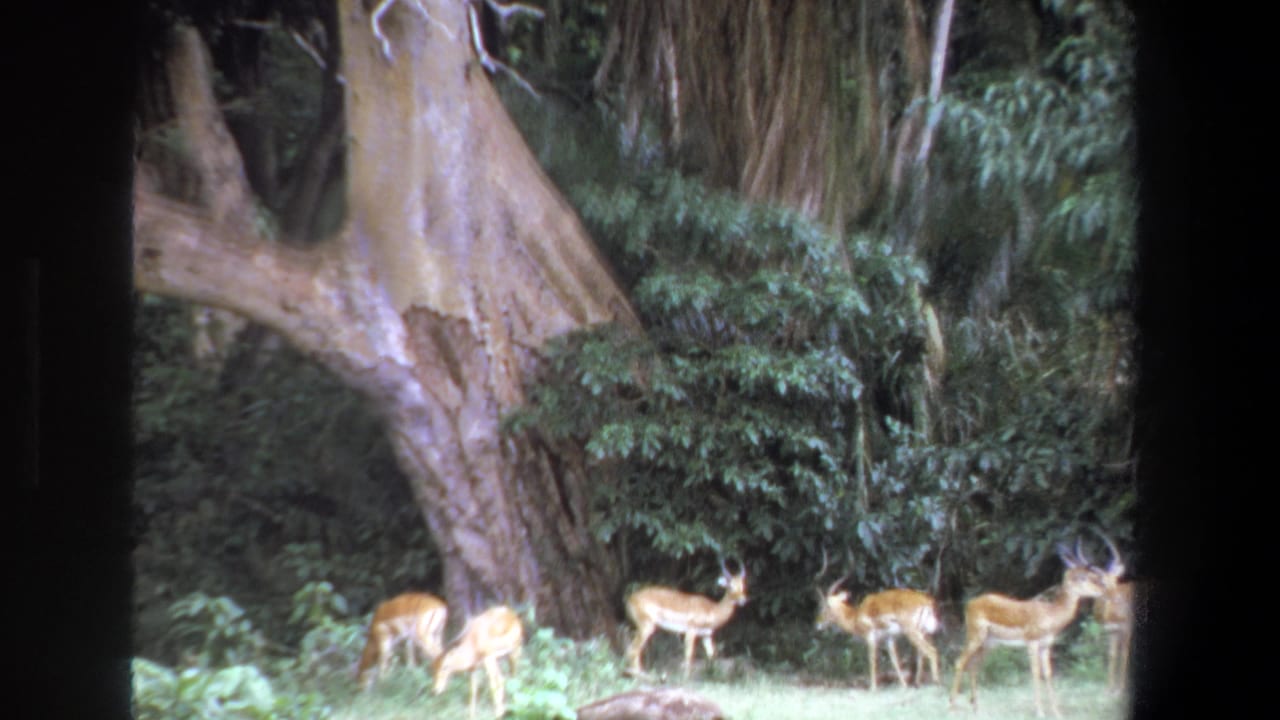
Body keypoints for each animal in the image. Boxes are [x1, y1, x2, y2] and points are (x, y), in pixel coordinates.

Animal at [813, 550, 941, 691]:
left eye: (824, 606)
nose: (818, 624)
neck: (856, 615)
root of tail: (926, 601)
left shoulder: (870, 637)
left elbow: (872, 659)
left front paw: (873, 688)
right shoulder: (889, 638)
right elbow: (895, 660)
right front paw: (904, 685)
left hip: (912, 632)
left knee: (932, 651)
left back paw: (936, 682)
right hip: (924, 633)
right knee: (922, 654)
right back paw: (918, 683)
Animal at [949, 543, 1108, 718]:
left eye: (1093, 576)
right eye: (1082, 577)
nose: (1103, 589)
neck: (1050, 614)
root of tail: (970, 604)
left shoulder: (1046, 645)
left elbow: (1048, 674)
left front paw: (1057, 712)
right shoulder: (1032, 643)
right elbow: (1035, 673)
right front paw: (1040, 712)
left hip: (988, 643)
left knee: (973, 666)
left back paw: (977, 708)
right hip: (975, 636)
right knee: (960, 662)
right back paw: (952, 707)